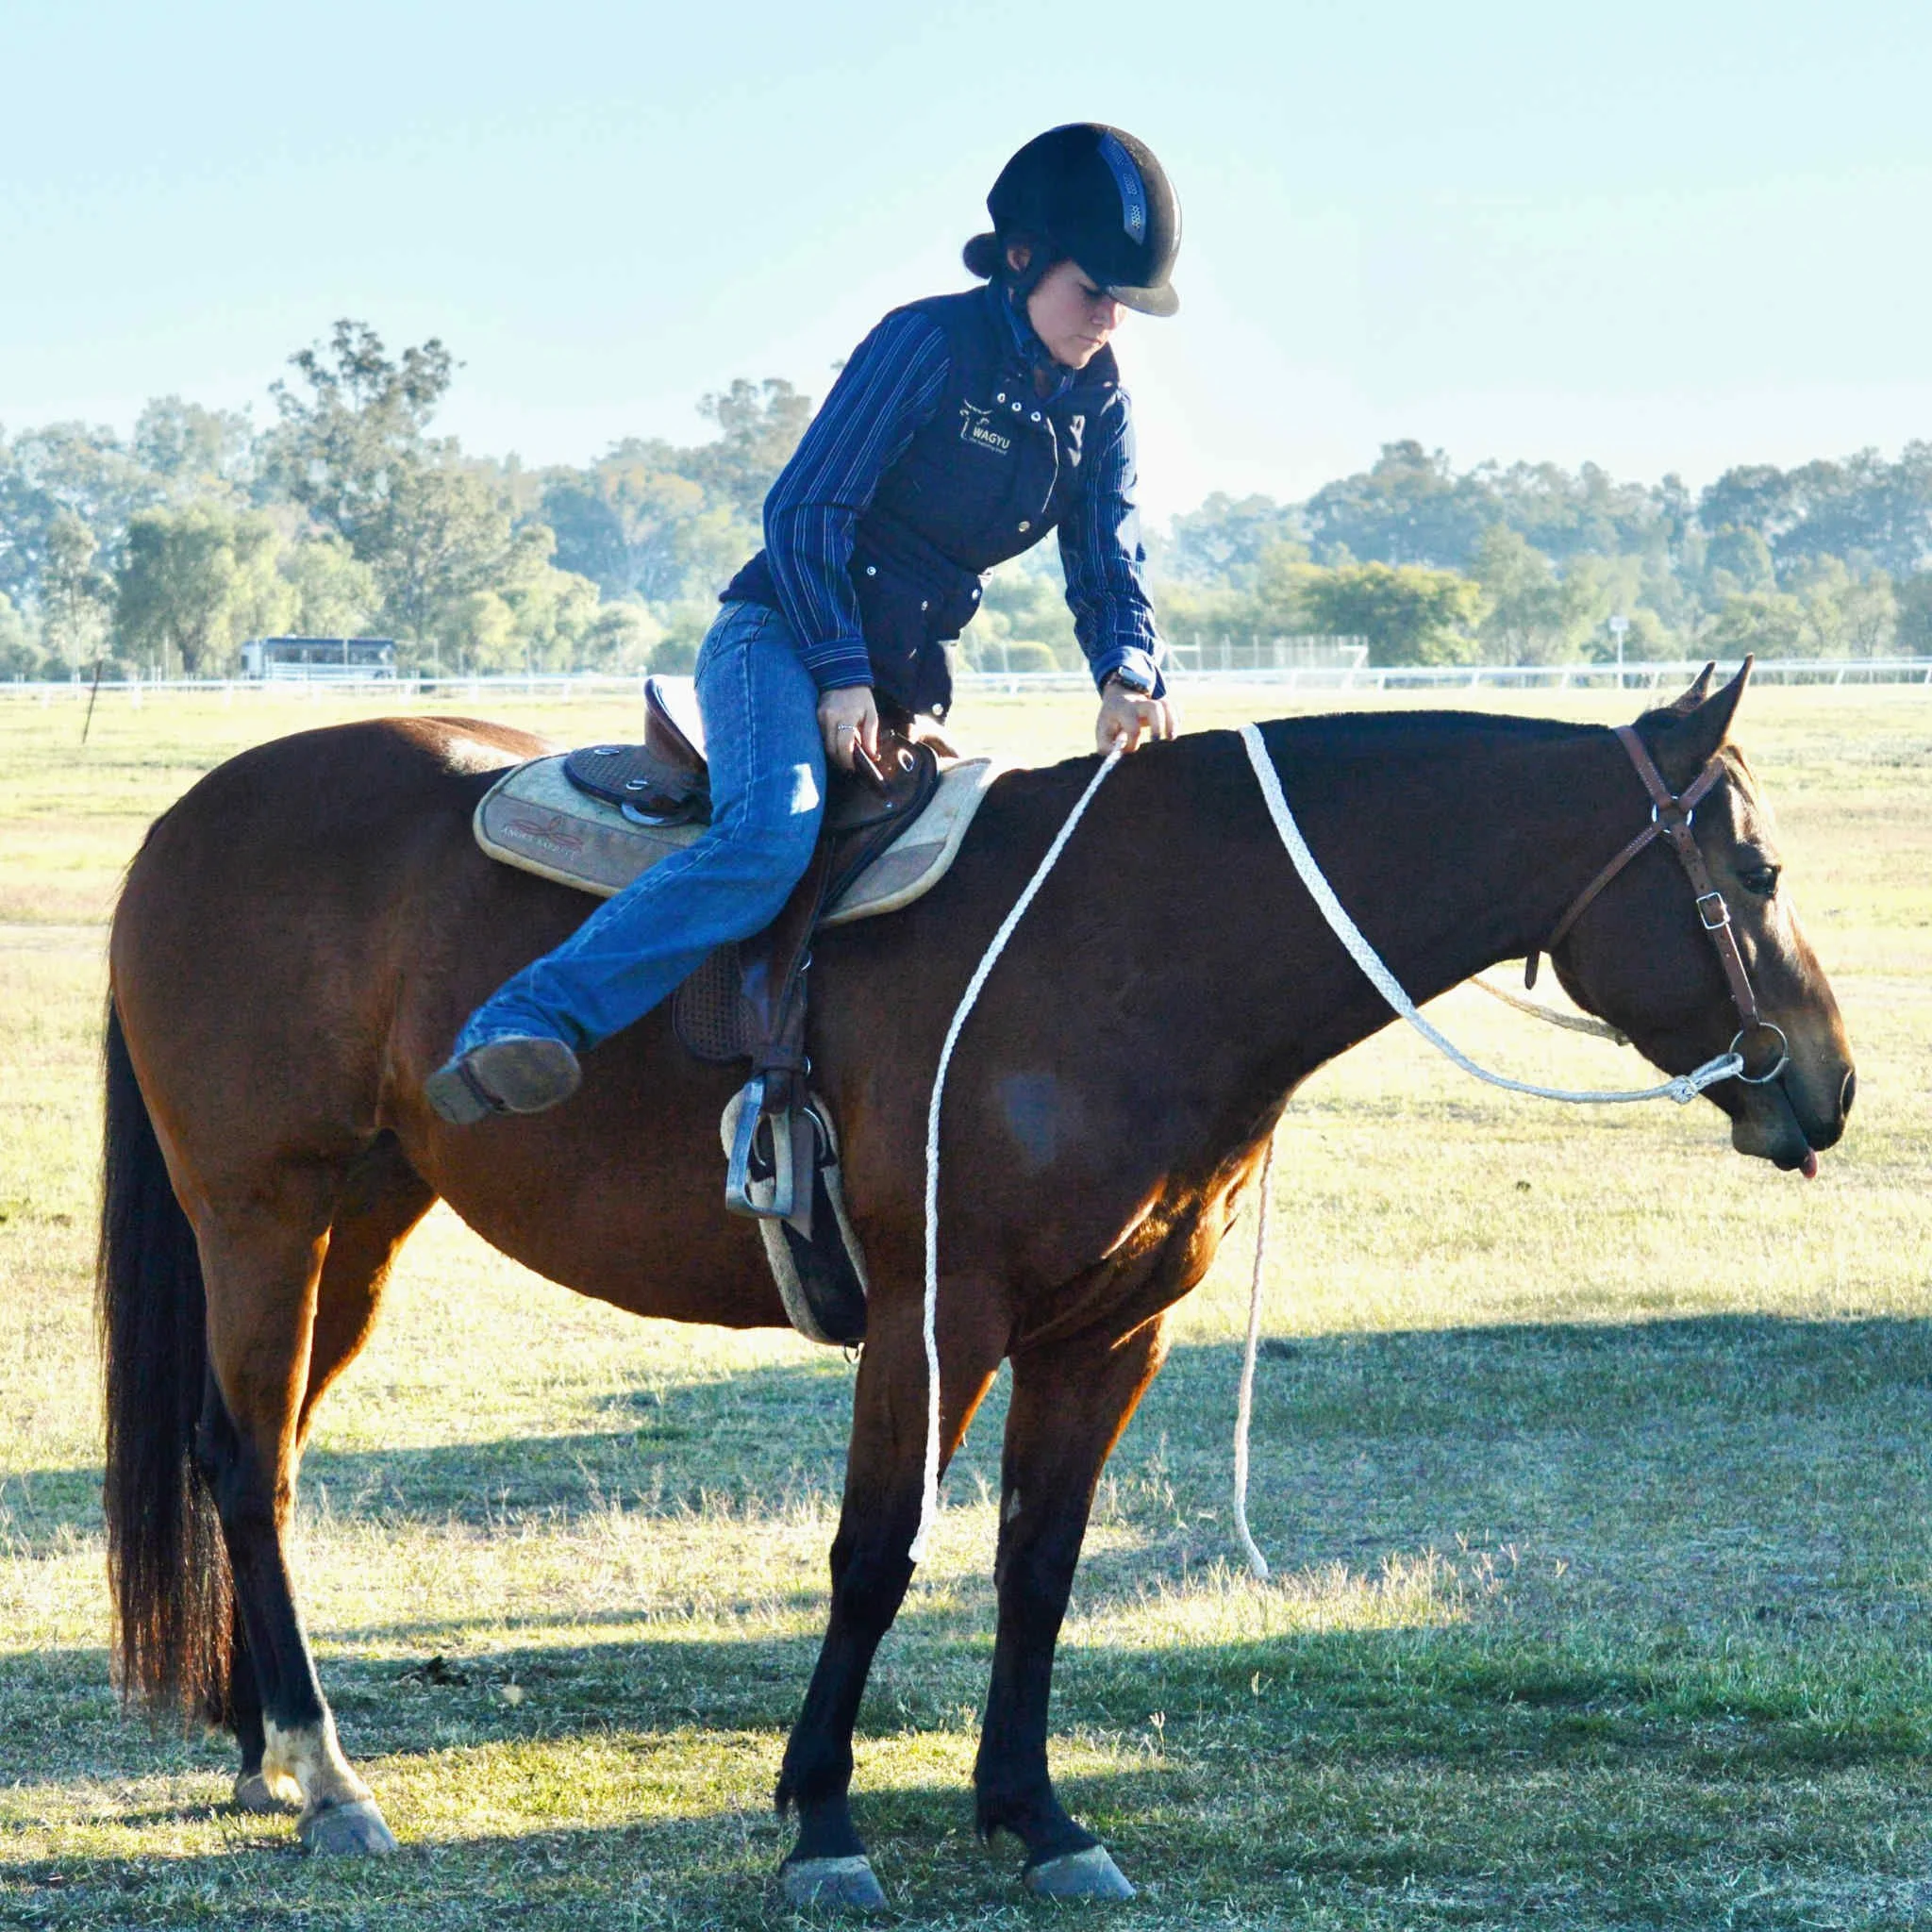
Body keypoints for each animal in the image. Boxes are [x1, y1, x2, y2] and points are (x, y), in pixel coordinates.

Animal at [98, 662, 1853, 1904]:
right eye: (1758, 873)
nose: (1826, 1085)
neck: (1141, 944)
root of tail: (189, 819)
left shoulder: (1110, 1333)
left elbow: (1037, 1565)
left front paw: (1037, 1814)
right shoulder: (937, 1318)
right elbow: (875, 1555)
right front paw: (821, 1818)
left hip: (365, 1217)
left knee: (240, 1451)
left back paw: (263, 1749)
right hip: (263, 1208)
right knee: (250, 1467)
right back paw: (328, 1776)